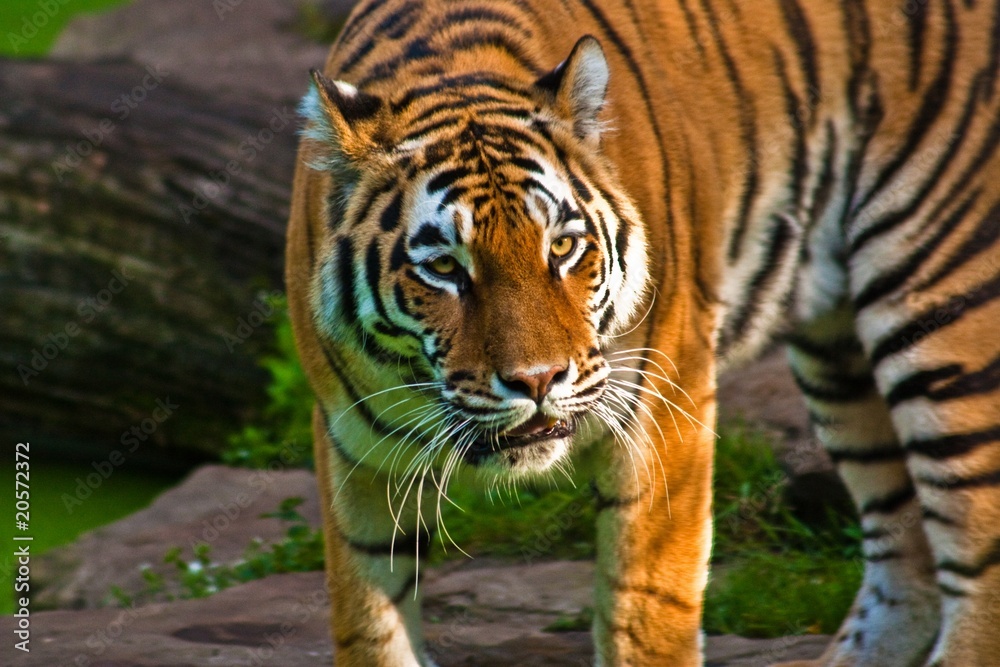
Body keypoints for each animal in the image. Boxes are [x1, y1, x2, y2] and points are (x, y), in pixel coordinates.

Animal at [284, 0, 1000, 664]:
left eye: (563, 248)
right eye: (443, 269)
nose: (538, 381)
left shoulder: (663, 414)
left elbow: (647, 609)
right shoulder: (354, 447)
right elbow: (369, 622)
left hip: (941, 293)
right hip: (838, 356)